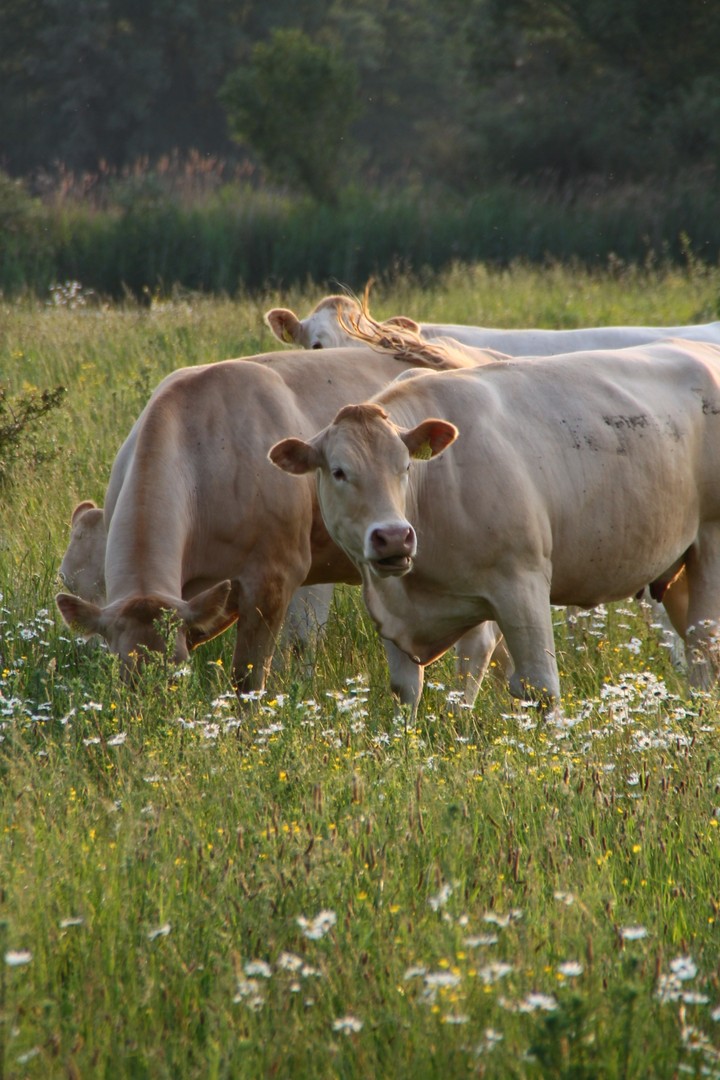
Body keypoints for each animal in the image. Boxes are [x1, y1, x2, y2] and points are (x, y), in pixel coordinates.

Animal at [269, 338, 720, 707]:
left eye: (405, 467)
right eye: (339, 472)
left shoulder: (523, 583)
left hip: (710, 547)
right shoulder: (393, 603)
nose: (394, 537)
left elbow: (540, 686)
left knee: (704, 647)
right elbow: (406, 688)